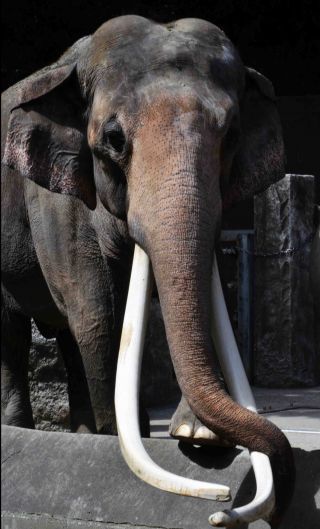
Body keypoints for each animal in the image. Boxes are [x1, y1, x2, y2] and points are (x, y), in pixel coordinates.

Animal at [0, 15, 296, 524]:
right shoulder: (54, 195)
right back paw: (33, 428)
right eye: (114, 140)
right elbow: (97, 312)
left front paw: (198, 436)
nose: (222, 508)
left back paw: (82, 431)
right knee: (17, 331)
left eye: (232, 136)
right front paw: (126, 430)